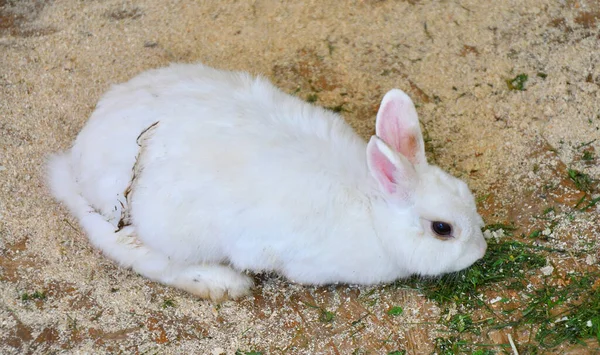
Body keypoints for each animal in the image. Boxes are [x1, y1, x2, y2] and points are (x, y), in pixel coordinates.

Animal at [48, 63, 488, 300]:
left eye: (467, 194)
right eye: (442, 229)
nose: (480, 252)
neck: (372, 205)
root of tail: (82, 154)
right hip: (167, 228)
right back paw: (223, 283)